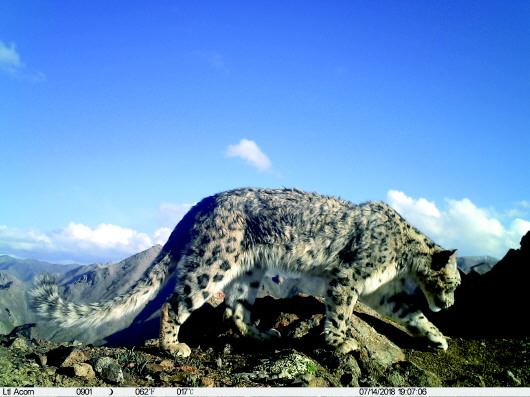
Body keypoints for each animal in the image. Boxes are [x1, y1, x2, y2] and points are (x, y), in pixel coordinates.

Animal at [29, 187, 458, 358]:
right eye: (454, 282)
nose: (450, 304)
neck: (401, 260)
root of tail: (205, 200)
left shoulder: (382, 290)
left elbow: (410, 313)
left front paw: (438, 338)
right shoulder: (349, 279)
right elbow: (339, 314)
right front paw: (340, 342)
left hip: (248, 271)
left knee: (235, 311)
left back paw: (261, 334)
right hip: (213, 263)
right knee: (175, 302)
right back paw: (172, 346)